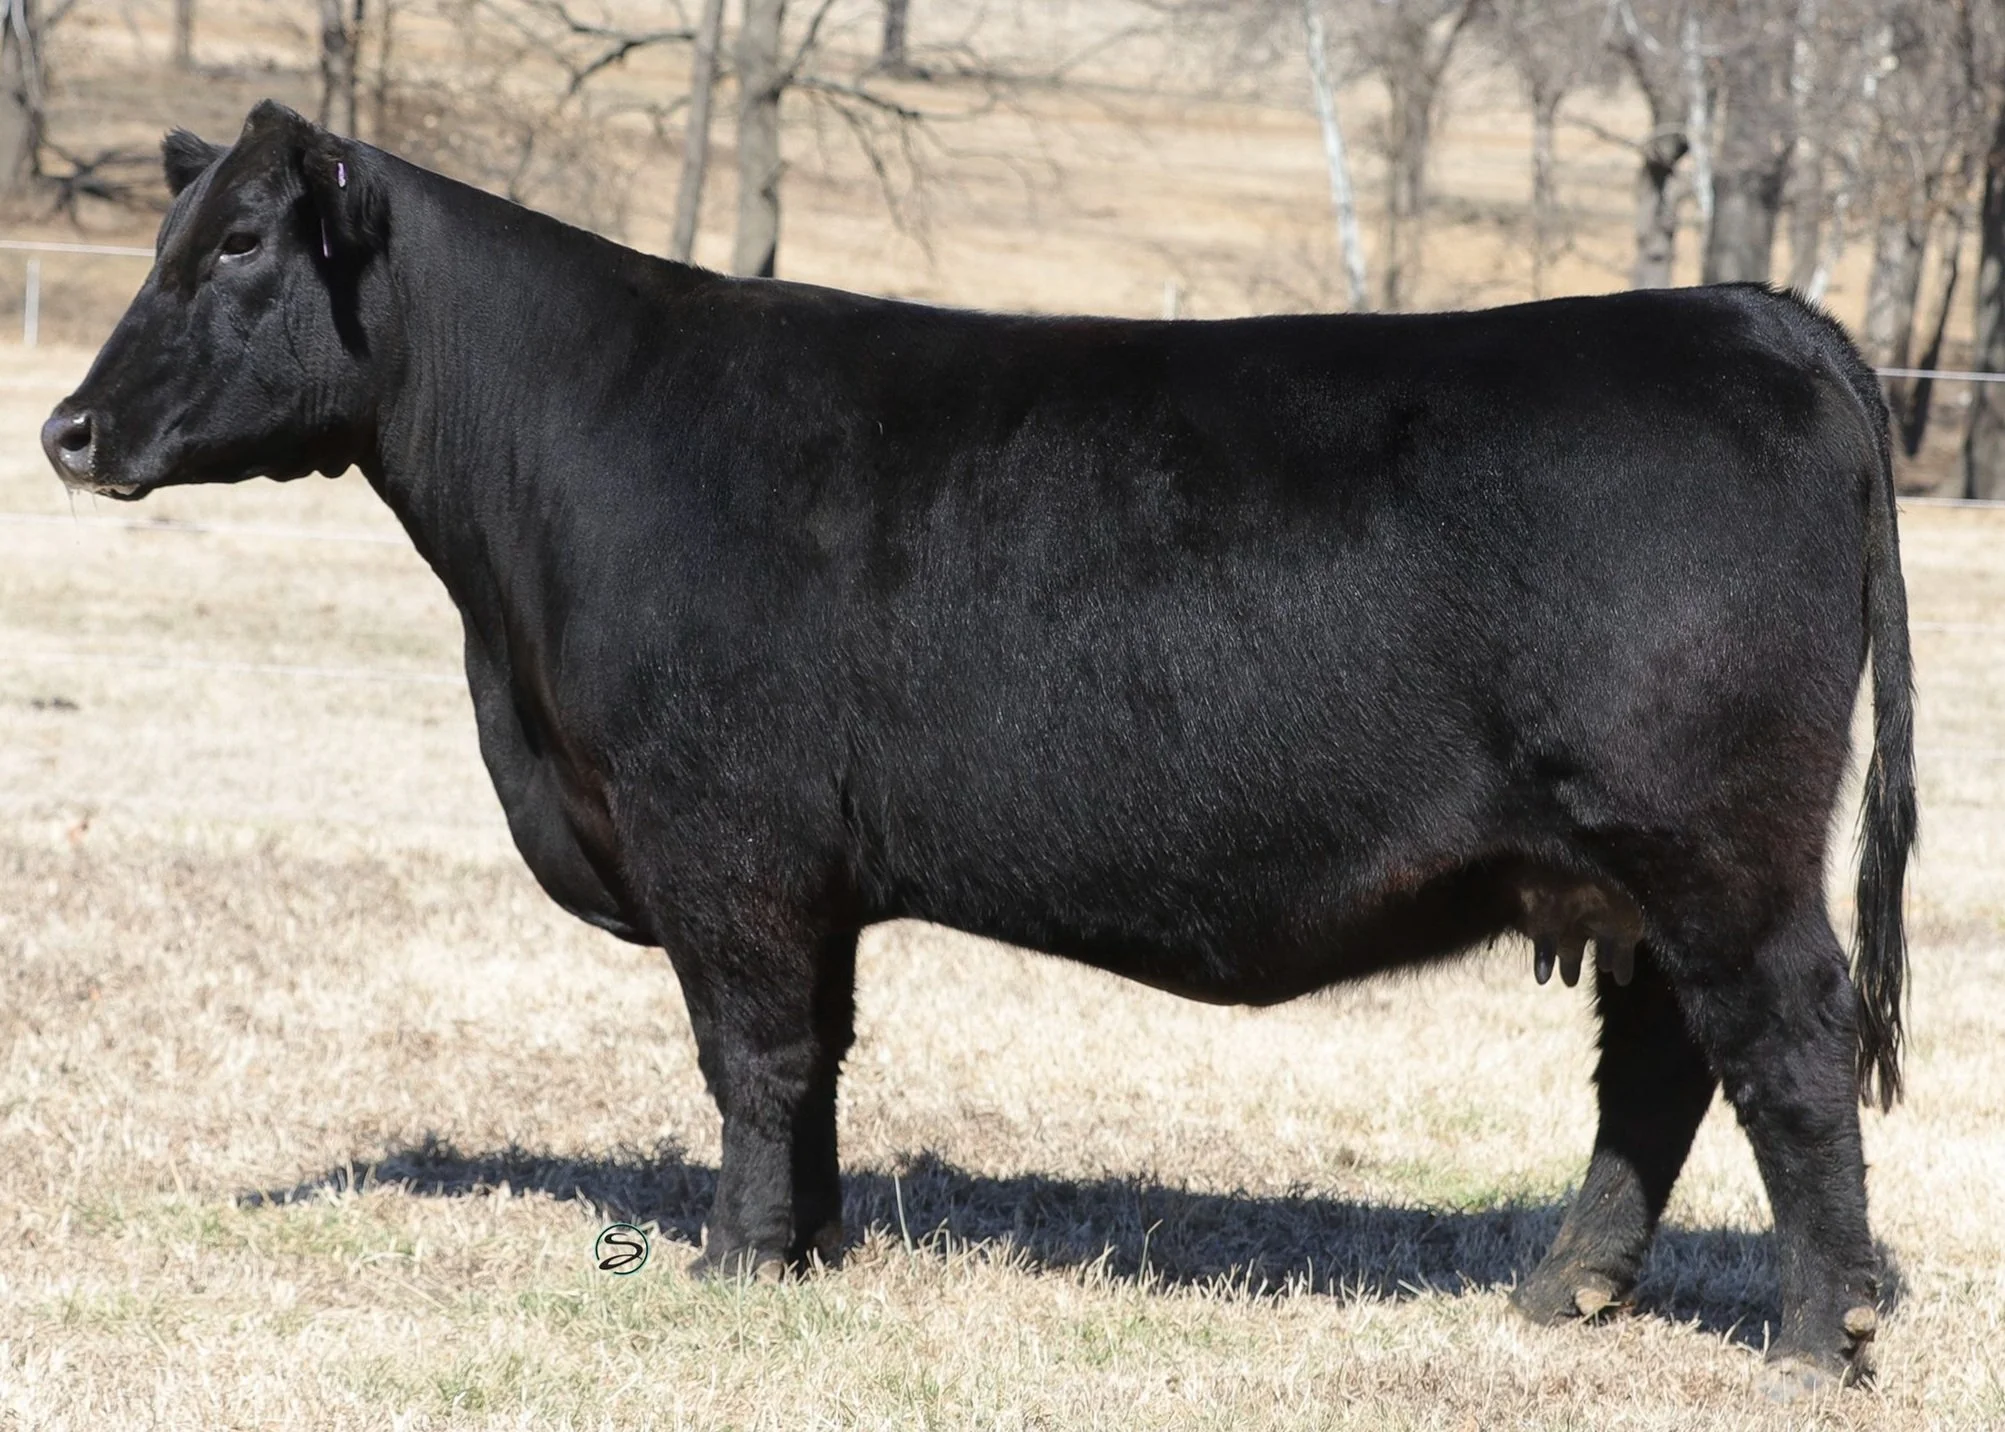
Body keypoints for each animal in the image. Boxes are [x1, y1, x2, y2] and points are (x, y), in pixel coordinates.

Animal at [44, 101, 1915, 1397]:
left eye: (237, 249)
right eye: (171, 238)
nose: (66, 428)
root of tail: (1747, 310)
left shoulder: (718, 834)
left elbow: (750, 1056)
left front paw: (731, 1268)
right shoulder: (805, 868)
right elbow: (816, 1058)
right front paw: (809, 1250)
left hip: (1714, 843)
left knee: (1783, 1049)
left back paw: (1820, 1333)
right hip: (1636, 865)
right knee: (1662, 1063)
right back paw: (1558, 1291)